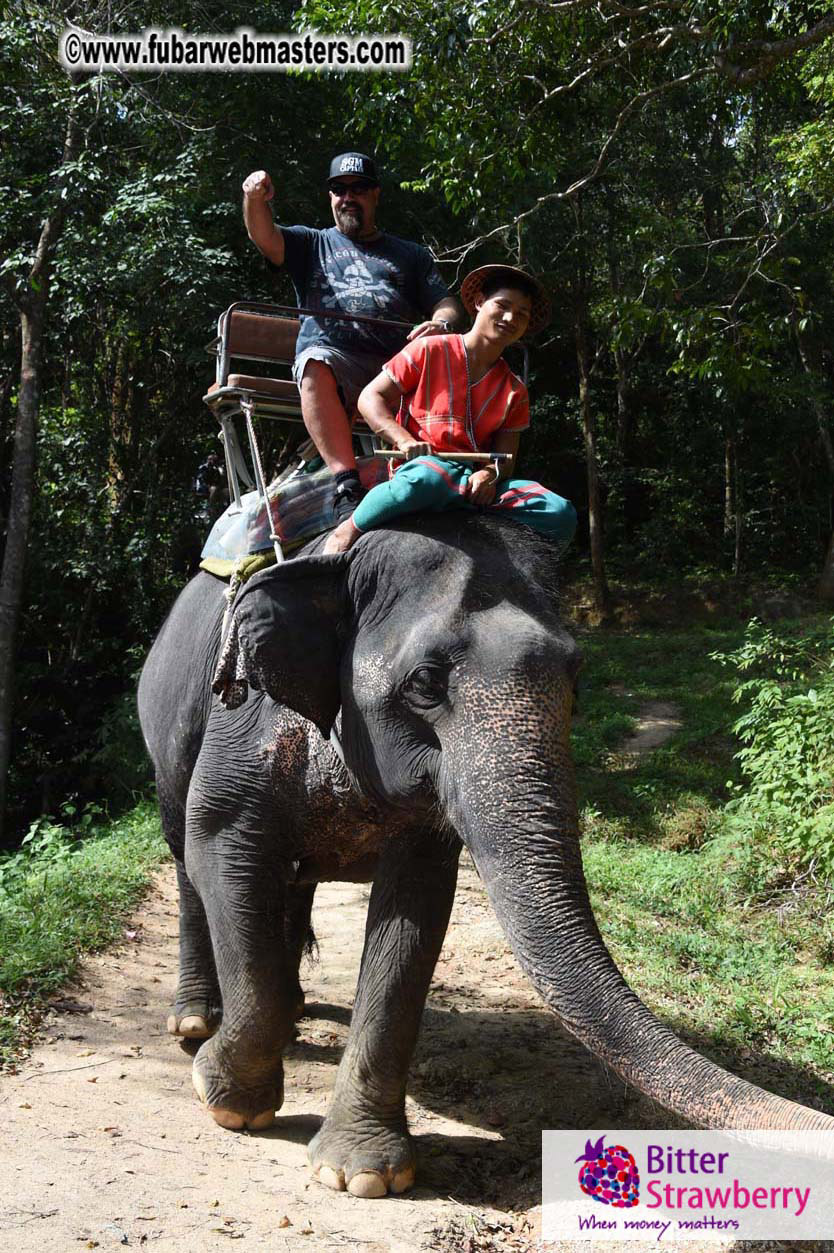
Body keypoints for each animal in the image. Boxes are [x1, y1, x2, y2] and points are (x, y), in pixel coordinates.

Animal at [137, 511, 834, 1199]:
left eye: (576, 678)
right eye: (425, 682)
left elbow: (413, 913)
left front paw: (364, 1174)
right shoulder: (242, 728)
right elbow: (218, 848)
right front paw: (228, 1102)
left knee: (293, 885)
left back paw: (295, 1006)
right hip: (162, 730)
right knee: (186, 857)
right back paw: (196, 1023)